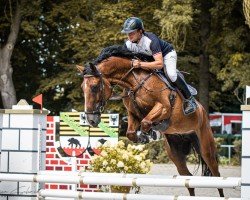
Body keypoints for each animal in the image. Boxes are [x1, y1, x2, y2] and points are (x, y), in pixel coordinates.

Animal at [77, 44, 224, 196]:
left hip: (206, 147)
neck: (134, 81)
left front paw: (147, 135)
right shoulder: (133, 114)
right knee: (188, 178)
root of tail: (202, 110)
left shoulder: (163, 107)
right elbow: (131, 132)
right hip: (175, 151)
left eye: (94, 87)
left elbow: (146, 122)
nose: (91, 119)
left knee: (216, 175)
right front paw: (143, 137)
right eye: (82, 87)